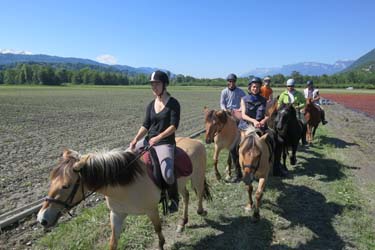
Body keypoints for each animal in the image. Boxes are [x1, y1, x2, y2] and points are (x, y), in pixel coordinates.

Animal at [37, 138, 212, 249]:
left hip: (197, 177)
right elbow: (113, 242)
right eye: (50, 180)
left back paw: (201, 211)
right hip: (181, 183)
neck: (125, 184)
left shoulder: (152, 210)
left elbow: (158, 231)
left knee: (198, 193)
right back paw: (182, 223)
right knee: (186, 196)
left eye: (65, 186)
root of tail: (196, 141)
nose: (41, 219)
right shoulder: (116, 214)